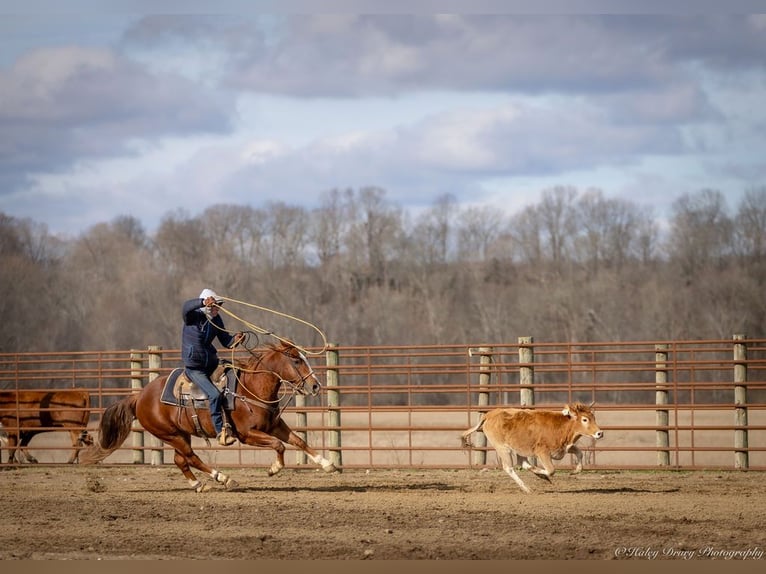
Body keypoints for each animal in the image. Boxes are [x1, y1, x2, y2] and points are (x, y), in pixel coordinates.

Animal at [80, 342, 340, 496]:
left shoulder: (275, 425)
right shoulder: (247, 435)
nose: (315, 386)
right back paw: (224, 478)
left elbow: (298, 441)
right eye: (296, 360)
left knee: (180, 460)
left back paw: (198, 484)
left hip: (179, 434)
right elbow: (279, 446)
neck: (250, 388)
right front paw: (274, 469)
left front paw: (327, 464)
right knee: (191, 457)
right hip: (170, 434)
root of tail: (139, 396)